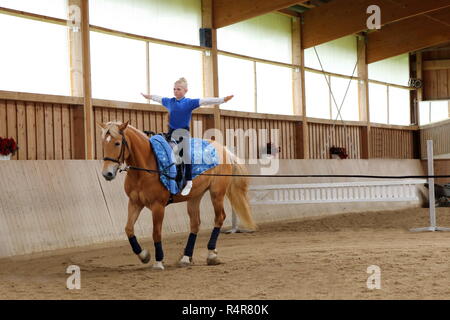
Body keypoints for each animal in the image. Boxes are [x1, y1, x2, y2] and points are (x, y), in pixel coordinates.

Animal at [96, 120, 255, 270]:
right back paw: (186, 257)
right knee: (195, 224)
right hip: (195, 196)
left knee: (219, 218)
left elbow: (156, 232)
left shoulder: (158, 206)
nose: (107, 173)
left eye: (117, 143)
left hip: (217, 193)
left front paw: (158, 261)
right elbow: (128, 229)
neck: (146, 167)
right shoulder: (135, 203)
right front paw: (144, 255)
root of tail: (223, 149)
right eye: (103, 143)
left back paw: (211, 254)